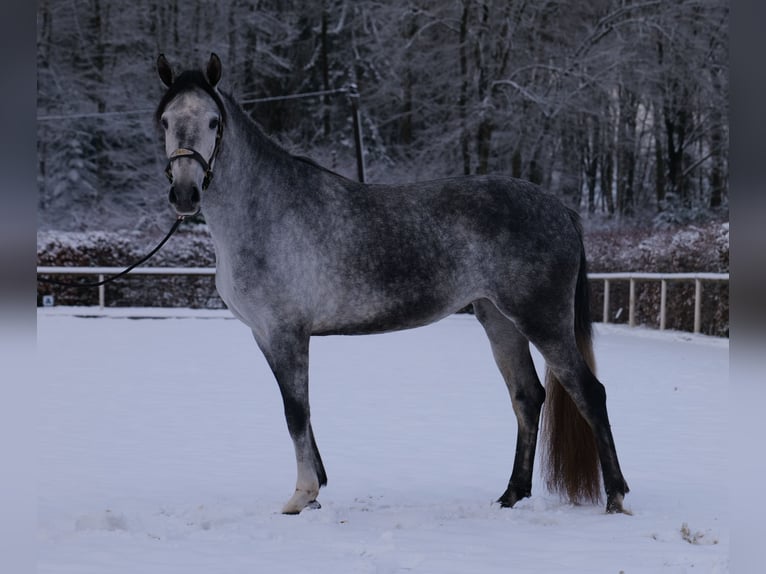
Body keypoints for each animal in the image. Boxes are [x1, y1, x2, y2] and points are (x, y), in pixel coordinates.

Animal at [156, 54, 632, 516]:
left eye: (213, 122)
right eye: (165, 120)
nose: (185, 193)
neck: (267, 211)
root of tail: (560, 209)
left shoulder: (285, 333)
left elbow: (295, 412)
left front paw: (301, 495)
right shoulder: (266, 336)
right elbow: (303, 412)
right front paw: (317, 491)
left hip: (543, 321)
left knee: (589, 393)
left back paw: (615, 497)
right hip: (499, 320)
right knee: (527, 397)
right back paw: (511, 495)